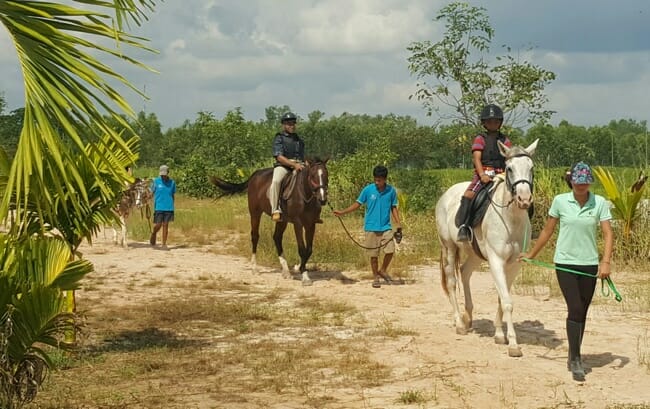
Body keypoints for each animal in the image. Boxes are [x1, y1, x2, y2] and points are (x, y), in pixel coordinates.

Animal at [209, 158, 326, 286]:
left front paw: (298, 267)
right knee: (255, 236)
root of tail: (255, 175)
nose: (323, 199)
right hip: (255, 213)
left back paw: (286, 272)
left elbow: (308, 250)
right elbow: (302, 249)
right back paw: (254, 268)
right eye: (313, 176)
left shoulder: (311, 224)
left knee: (277, 237)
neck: (303, 195)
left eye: (326, 175)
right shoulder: (298, 224)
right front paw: (305, 277)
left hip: (282, 220)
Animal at [436, 139, 536, 356]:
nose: (524, 200)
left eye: (531, 168)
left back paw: (468, 317)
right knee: (452, 282)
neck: (511, 219)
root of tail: (445, 195)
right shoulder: (496, 260)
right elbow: (507, 302)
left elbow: (502, 298)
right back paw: (459, 323)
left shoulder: (515, 264)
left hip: (475, 253)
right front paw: (513, 345)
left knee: (464, 272)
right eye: (509, 169)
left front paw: (499, 335)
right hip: (449, 247)